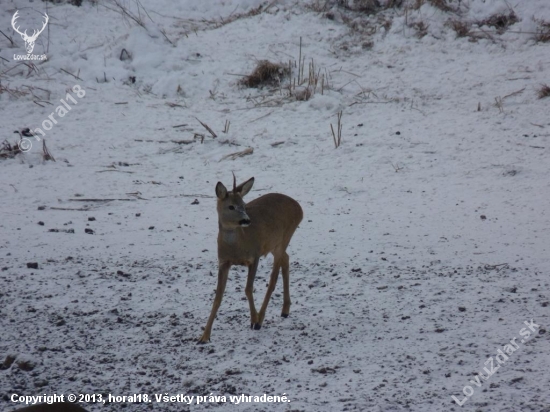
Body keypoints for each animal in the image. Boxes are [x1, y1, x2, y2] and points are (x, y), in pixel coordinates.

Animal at [198, 175, 304, 342]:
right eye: (231, 207)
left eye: (244, 205)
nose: (246, 220)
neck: (237, 246)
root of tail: (299, 208)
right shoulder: (223, 262)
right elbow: (218, 297)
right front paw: (204, 336)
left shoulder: (254, 256)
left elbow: (248, 288)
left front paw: (254, 319)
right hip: (274, 244)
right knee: (286, 258)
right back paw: (285, 310)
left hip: (285, 236)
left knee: (273, 279)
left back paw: (261, 320)